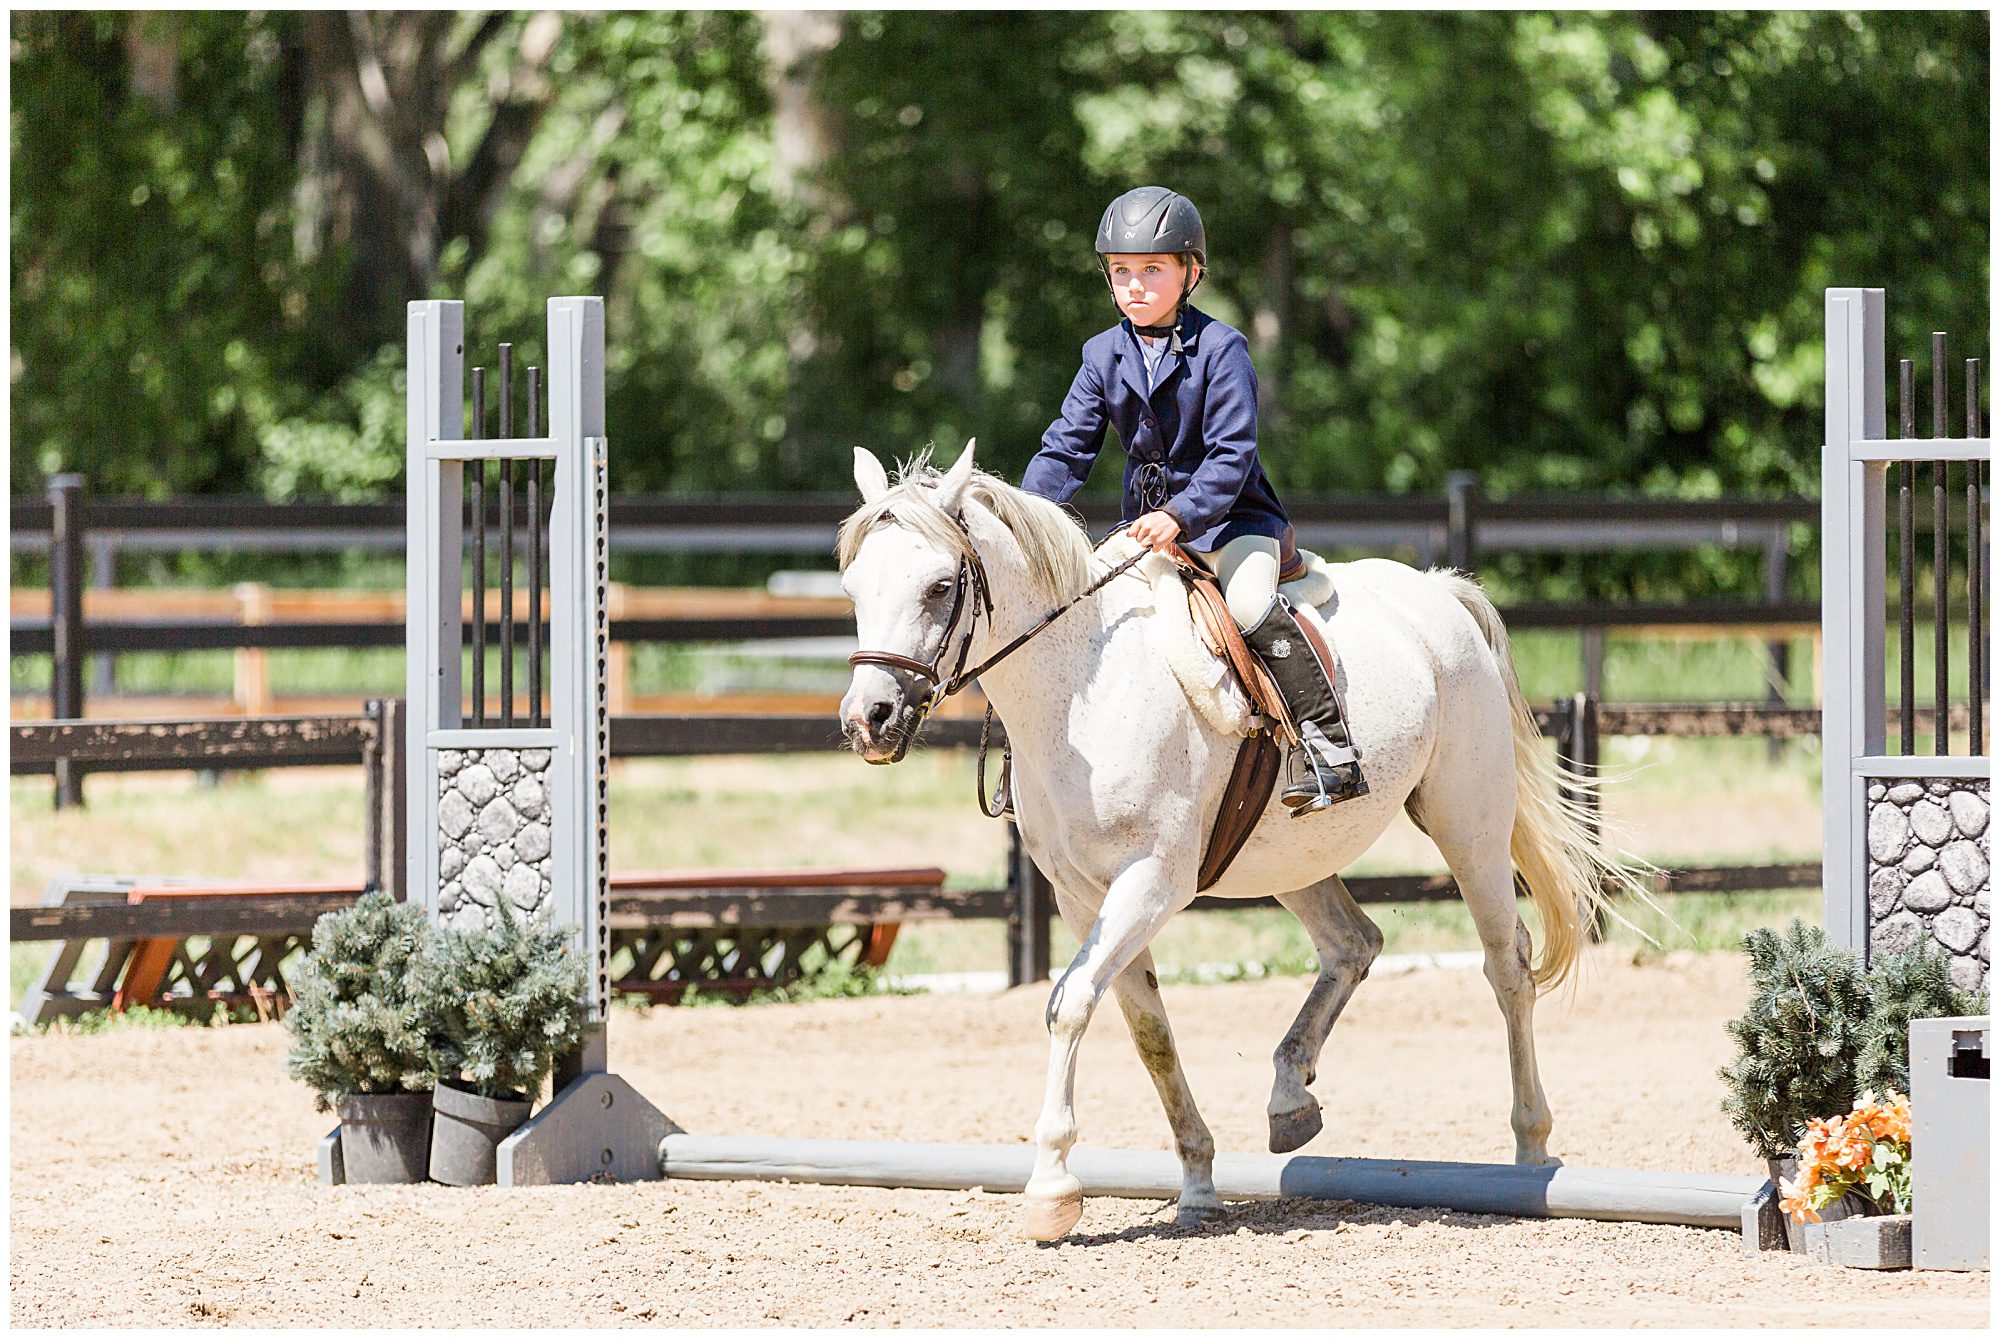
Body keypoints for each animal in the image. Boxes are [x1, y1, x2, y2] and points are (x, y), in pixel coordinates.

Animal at [836, 445, 1648, 1247]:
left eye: (941, 586)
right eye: (852, 588)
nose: (868, 719)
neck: (1079, 689)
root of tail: (1441, 593)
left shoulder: (1151, 882)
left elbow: (1069, 1005)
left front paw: (1052, 1187)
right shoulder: (1081, 895)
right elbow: (1148, 1032)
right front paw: (1197, 1185)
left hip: (1468, 819)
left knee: (1506, 965)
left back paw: (1529, 1155)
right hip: (1290, 853)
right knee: (1353, 943)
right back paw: (1290, 1098)